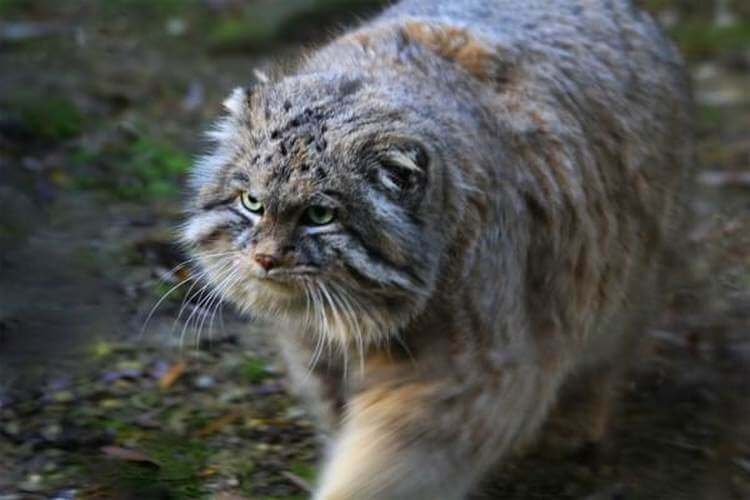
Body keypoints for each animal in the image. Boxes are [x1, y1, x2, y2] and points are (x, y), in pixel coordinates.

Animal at [181, 1, 692, 498]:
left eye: (319, 215)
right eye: (252, 202)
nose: (265, 259)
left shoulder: (467, 376)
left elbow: (387, 468)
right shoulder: (315, 354)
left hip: (624, 288)